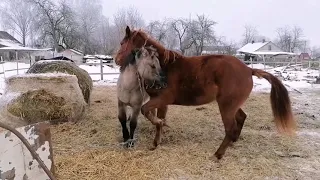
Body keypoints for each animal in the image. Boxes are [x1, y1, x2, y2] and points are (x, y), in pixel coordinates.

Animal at [115, 25, 298, 159]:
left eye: (122, 43)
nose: (116, 60)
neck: (164, 66)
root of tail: (248, 69)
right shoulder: (160, 102)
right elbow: (158, 117)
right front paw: (158, 138)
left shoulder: (162, 99)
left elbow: (148, 112)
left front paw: (156, 137)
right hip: (231, 105)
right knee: (241, 117)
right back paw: (233, 142)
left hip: (226, 106)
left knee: (230, 127)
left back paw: (218, 154)